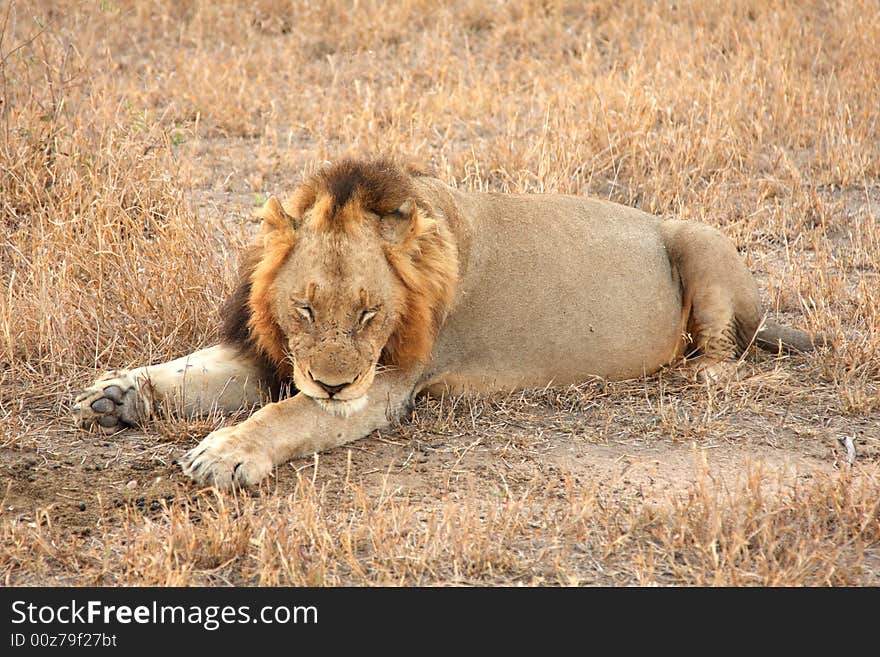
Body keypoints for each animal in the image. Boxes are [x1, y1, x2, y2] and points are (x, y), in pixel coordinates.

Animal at [72, 158, 820, 486]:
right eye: (305, 308)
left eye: (369, 313)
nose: (333, 384)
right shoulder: (280, 357)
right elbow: (195, 369)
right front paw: (120, 393)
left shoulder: (383, 384)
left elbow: (284, 416)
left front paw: (225, 455)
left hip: (699, 237)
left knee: (724, 353)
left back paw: (696, 376)